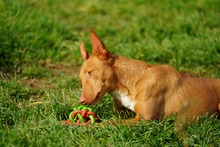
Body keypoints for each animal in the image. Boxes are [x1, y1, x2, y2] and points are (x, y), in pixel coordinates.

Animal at [78, 29, 219, 124]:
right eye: (80, 79)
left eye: (90, 72)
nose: (81, 101)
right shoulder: (121, 112)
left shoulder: (144, 118)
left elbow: (108, 123)